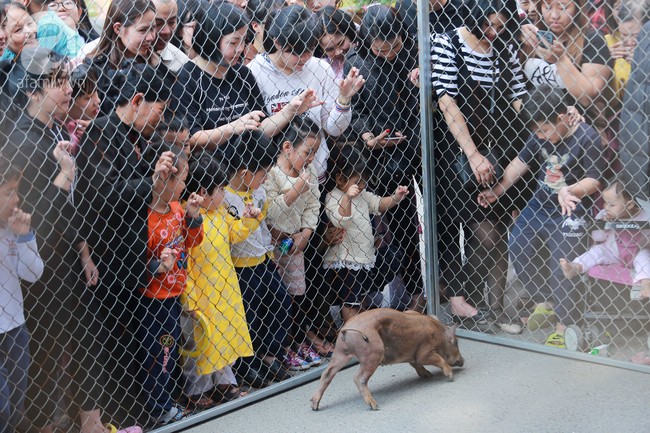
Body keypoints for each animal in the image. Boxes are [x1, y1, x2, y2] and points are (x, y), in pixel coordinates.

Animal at [308, 308, 460, 408]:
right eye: (456, 342)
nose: (462, 361)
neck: (438, 333)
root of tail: (346, 329)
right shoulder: (424, 351)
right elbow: (433, 359)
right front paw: (450, 376)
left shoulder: (412, 355)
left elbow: (416, 364)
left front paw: (428, 376)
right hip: (373, 352)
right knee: (358, 377)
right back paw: (374, 406)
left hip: (340, 353)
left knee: (327, 373)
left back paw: (314, 406)